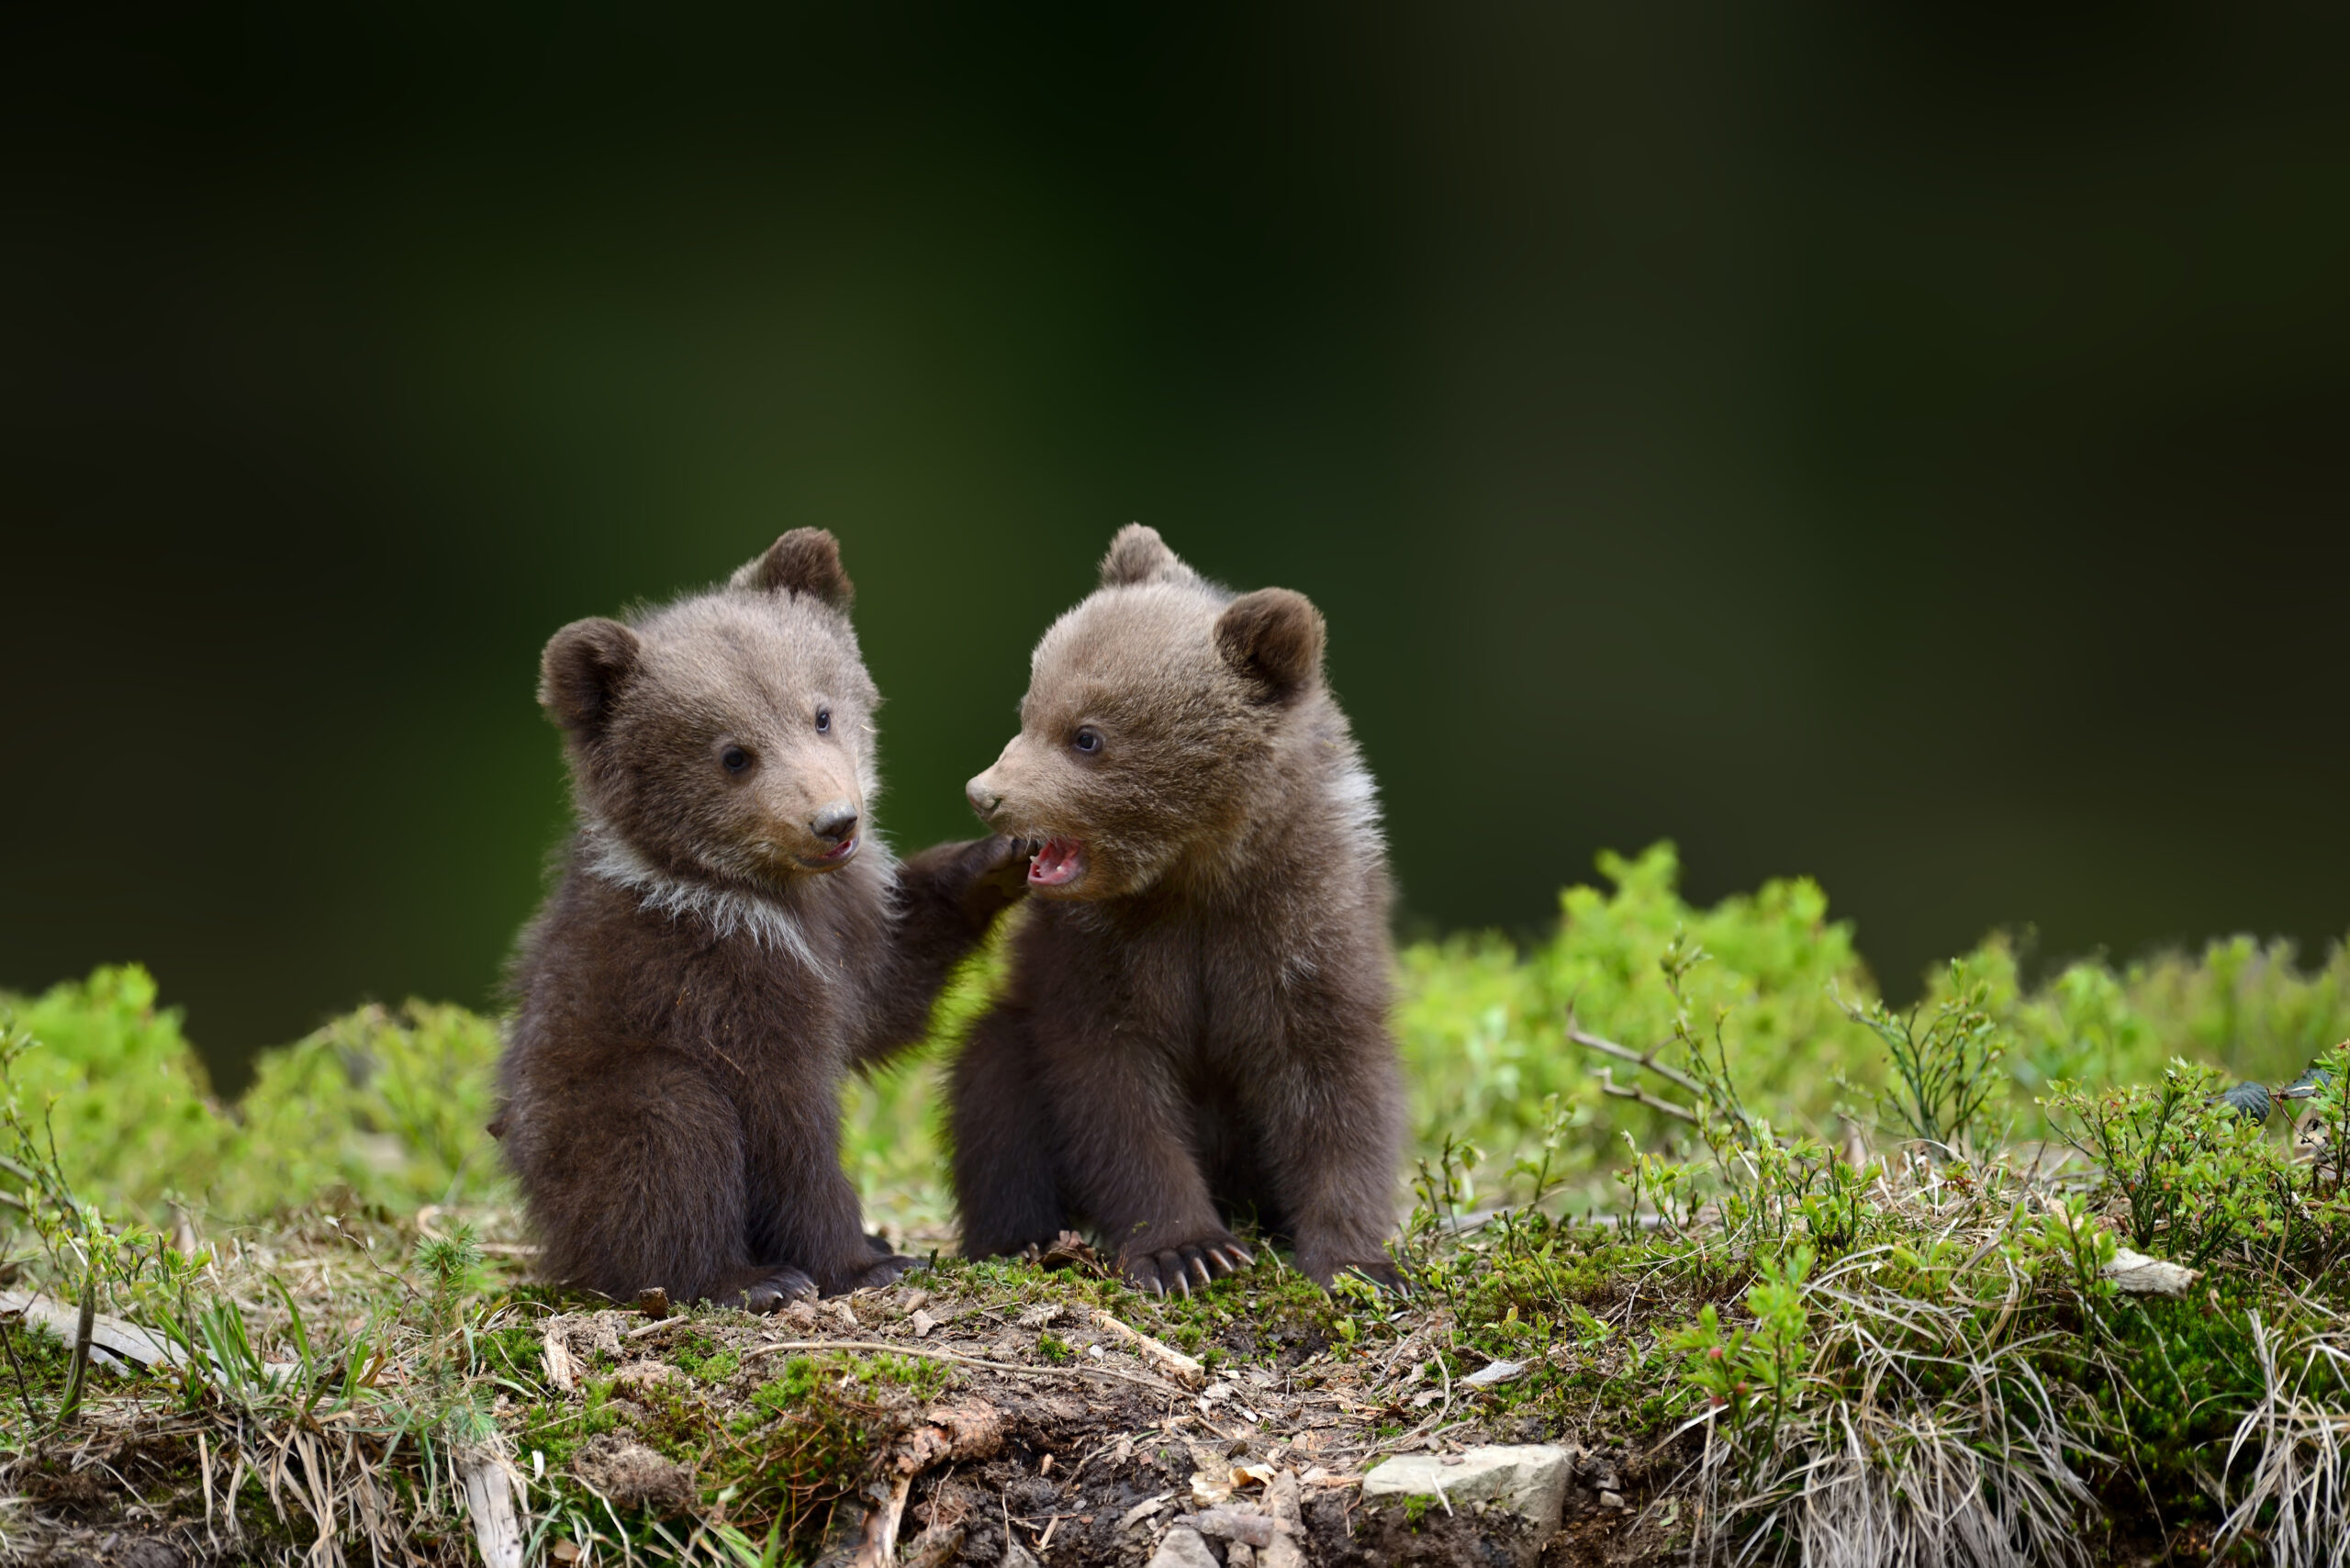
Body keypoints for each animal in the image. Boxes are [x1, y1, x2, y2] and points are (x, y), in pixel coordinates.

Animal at [500, 529, 1030, 1309]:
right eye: (733, 755)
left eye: (820, 712)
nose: (835, 821)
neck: (767, 896)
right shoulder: (721, 980)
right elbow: (788, 1126)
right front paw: (864, 1261)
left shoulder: (847, 928)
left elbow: (889, 994)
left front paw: (999, 857)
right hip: (593, 1114)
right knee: (671, 1134)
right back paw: (746, 1278)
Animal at [950, 524, 1406, 1296]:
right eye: (1029, 708)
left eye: (1087, 735)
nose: (986, 794)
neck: (1195, 875)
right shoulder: (1103, 951)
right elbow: (1114, 1090)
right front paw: (1186, 1250)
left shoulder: (1302, 924)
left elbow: (1334, 1084)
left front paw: (1359, 1260)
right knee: (991, 1088)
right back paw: (1023, 1238)